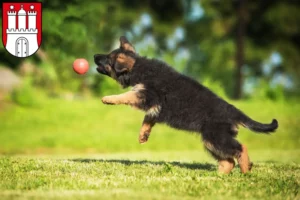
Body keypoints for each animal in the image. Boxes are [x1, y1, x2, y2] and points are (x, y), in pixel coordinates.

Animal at [94, 36, 278, 173]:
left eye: (108, 58)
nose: (95, 56)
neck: (138, 68)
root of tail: (233, 111)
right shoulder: (155, 107)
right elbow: (148, 119)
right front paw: (143, 135)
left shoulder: (146, 95)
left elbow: (126, 96)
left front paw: (108, 98)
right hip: (211, 140)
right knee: (229, 161)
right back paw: (219, 176)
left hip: (216, 137)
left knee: (241, 149)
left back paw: (246, 170)